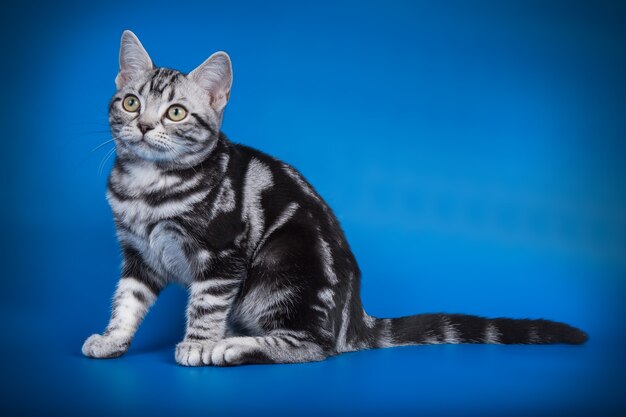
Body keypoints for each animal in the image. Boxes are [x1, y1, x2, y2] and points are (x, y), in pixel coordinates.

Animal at [81, 30, 584, 366]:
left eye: (176, 112)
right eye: (131, 103)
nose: (145, 125)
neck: (148, 186)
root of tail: (355, 315)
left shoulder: (224, 254)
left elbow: (205, 305)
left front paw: (199, 344)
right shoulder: (138, 255)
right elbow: (127, 301)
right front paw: (112, 339)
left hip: (286, 263)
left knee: (312, 345)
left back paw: (230, 345)